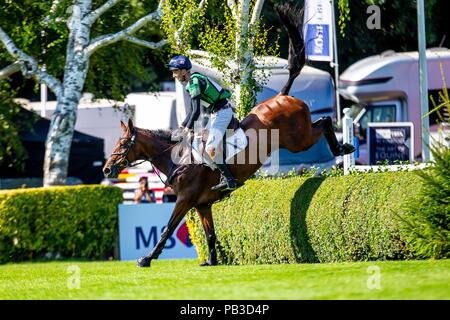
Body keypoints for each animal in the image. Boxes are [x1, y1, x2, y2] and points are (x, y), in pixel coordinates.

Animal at [103, 4, 356, 268]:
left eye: (123, 143)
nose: (107, 169)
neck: (178, 160)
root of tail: (283, 95)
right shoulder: (202, 204)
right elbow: (210, 234)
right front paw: (212, 261)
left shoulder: (184, 199)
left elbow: (168, 229)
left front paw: (147, 258)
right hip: (299, 135)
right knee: (321, 122)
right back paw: (344, 147)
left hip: (298, 140)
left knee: (324, 122)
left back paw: (343, 148)